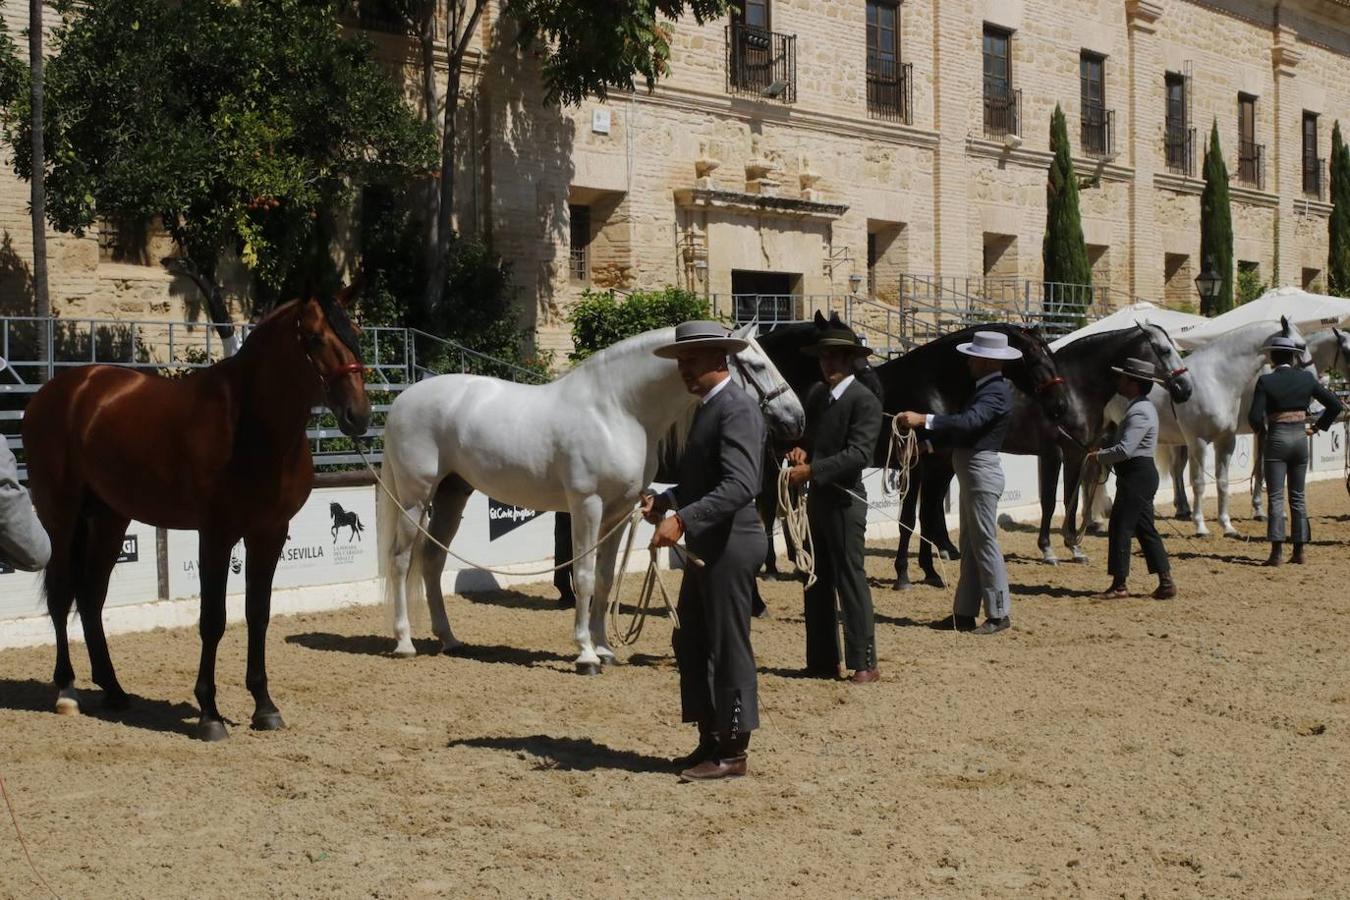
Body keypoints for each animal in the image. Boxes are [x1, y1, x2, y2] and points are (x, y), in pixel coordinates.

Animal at [22, 292, 369, 744]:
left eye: (356, 333)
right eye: (313, 338)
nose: (359, 415)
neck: (248, 428)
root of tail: (55, 392)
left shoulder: (269, 534)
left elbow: (258, 615)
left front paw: (265, 707)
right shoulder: (216, 535)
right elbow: (213, 620)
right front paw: (210, 714)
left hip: (110, 519)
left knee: (92, 597)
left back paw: (113, 690)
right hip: (61, 518)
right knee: (63, 596)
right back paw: (66, 690)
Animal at [375, 327, 799, 671]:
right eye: (755, 364)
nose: (796, 419)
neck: (616, 410)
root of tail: (402, 400)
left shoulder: (619, 512)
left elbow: (606, 579)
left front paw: (605, 648)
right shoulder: (587, 506)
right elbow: (583, 575)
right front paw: (585, 654)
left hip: (453, 494)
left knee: (432, 561)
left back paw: (449, 639)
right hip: (415, 498)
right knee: (401, 561)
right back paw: (405, 642)